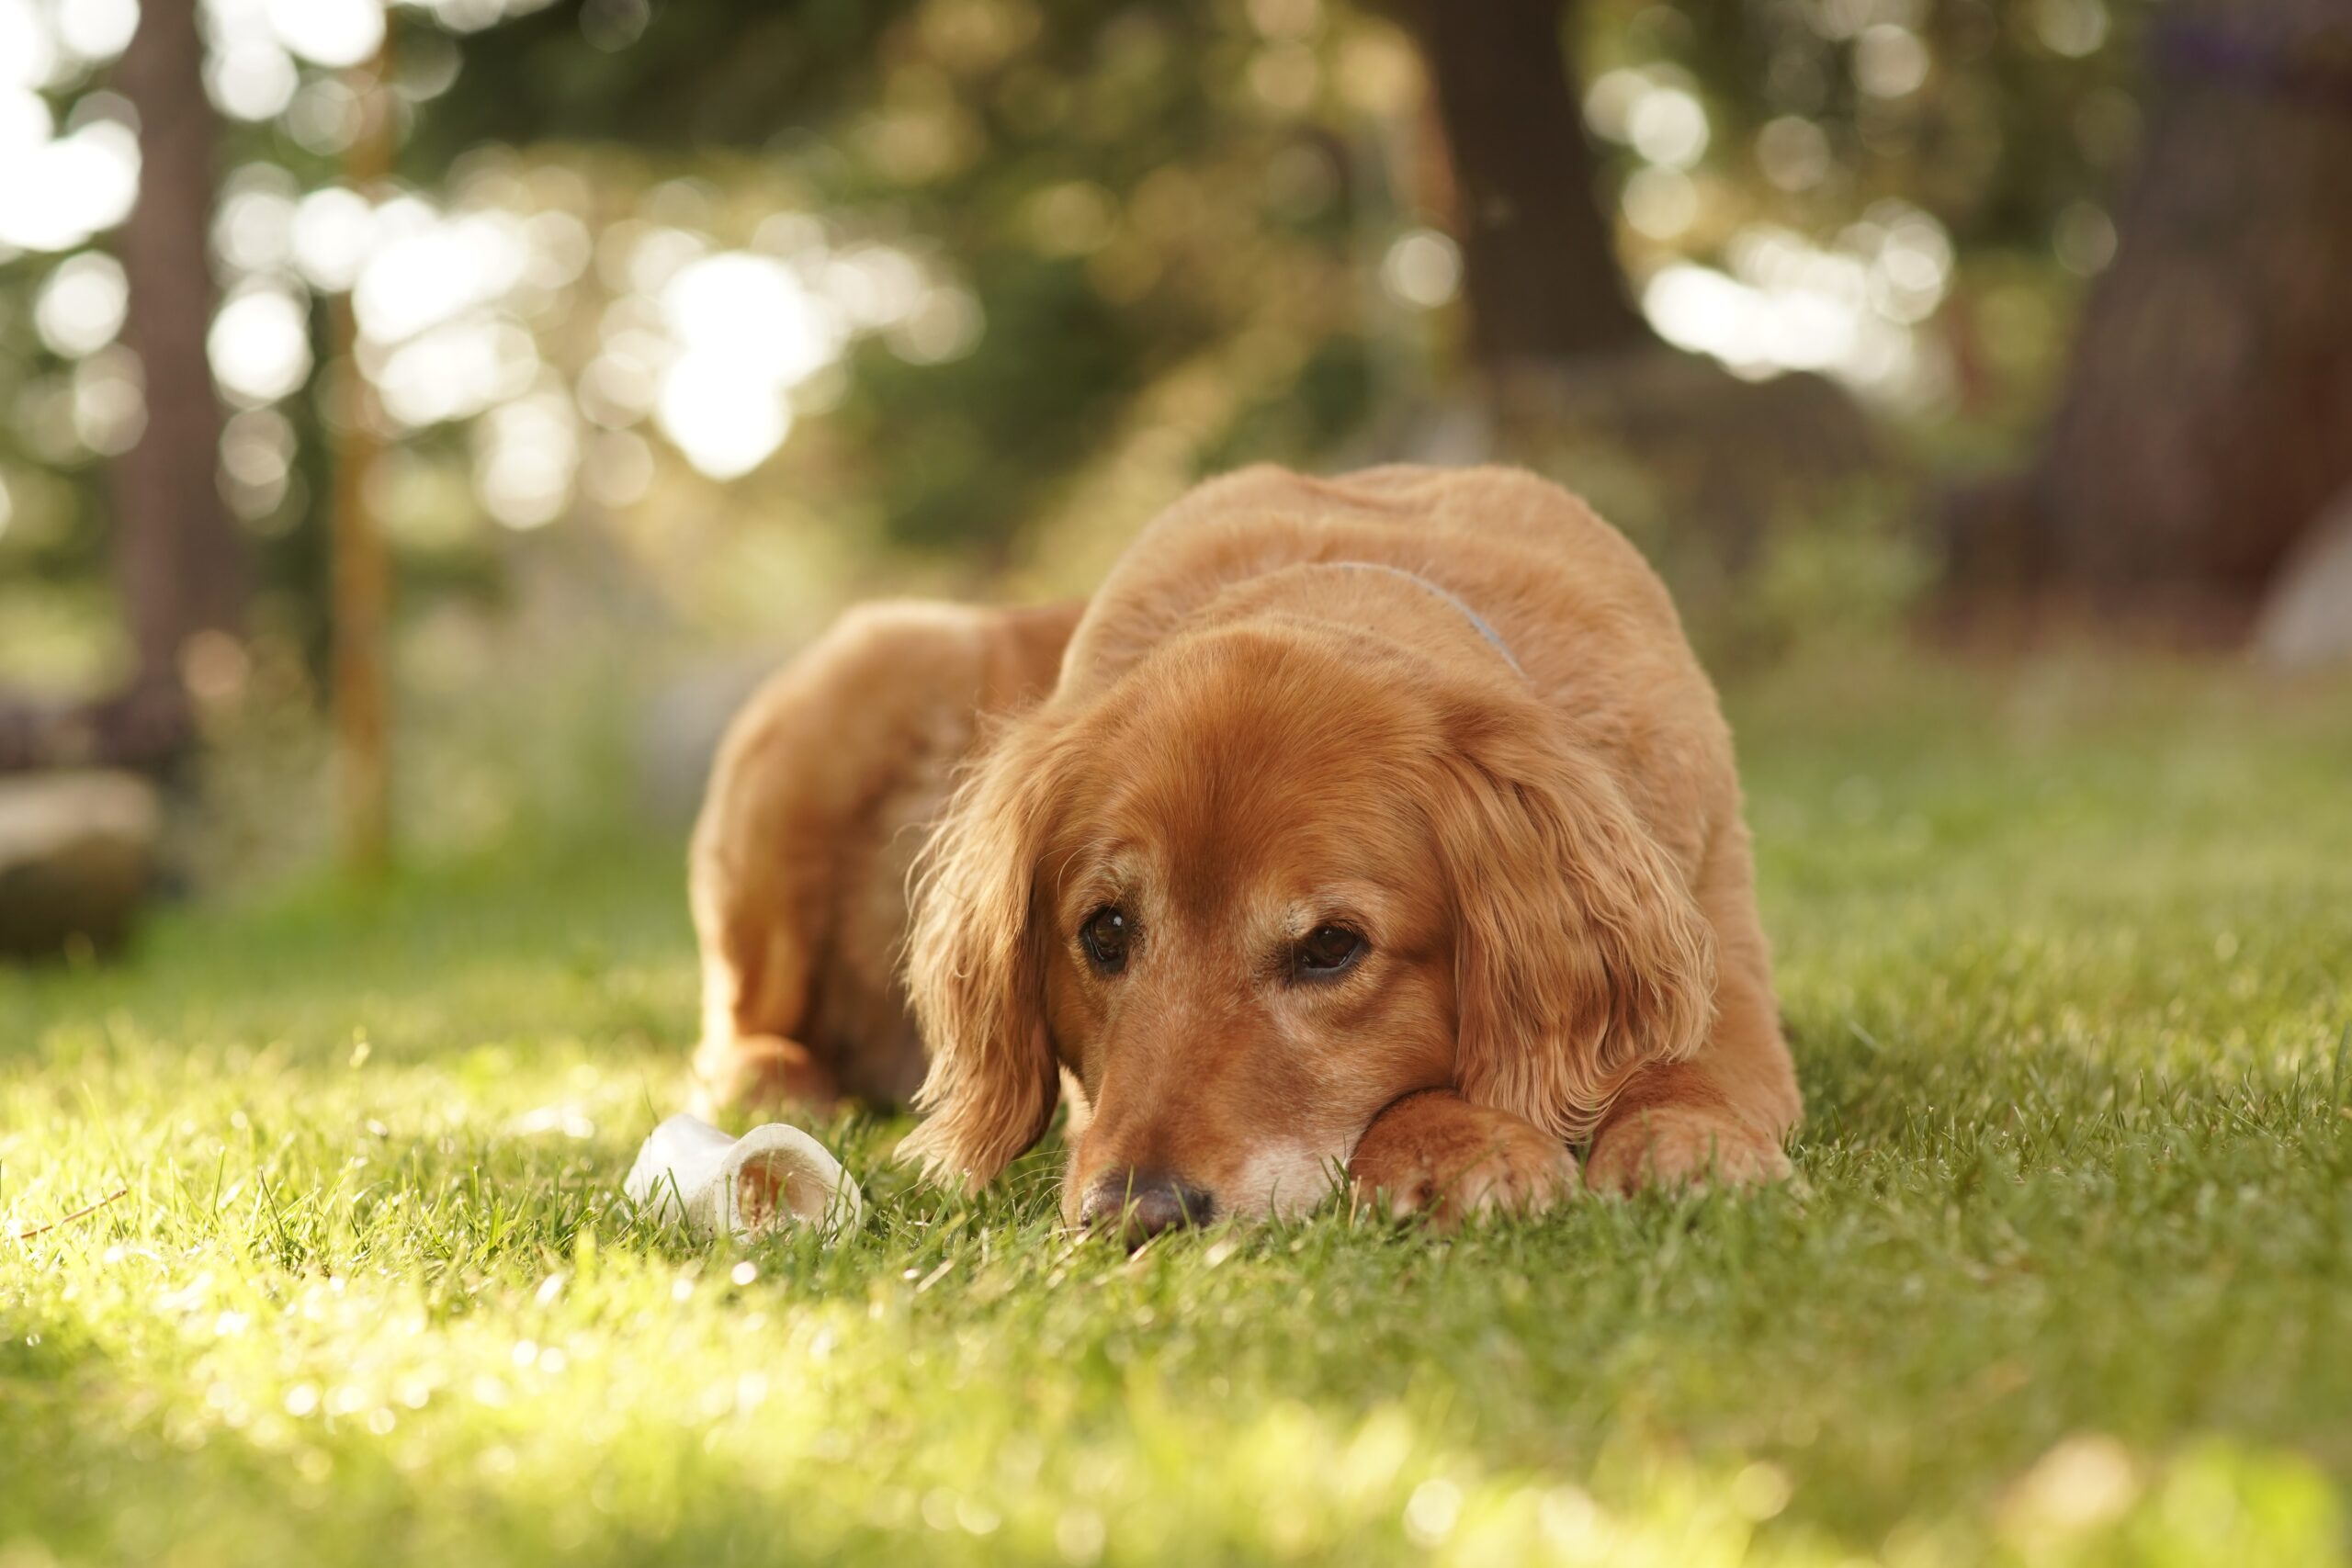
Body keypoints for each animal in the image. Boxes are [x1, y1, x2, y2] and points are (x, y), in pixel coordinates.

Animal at [682, 465, 1796, 1241]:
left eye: (1332, 946)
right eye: (1104, 930)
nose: (1136, 1216)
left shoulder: (1722, 961)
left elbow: (1691, 1060)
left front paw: (1680, 1141)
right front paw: (1458, 1143)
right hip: (869, 671)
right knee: (733, 1024)